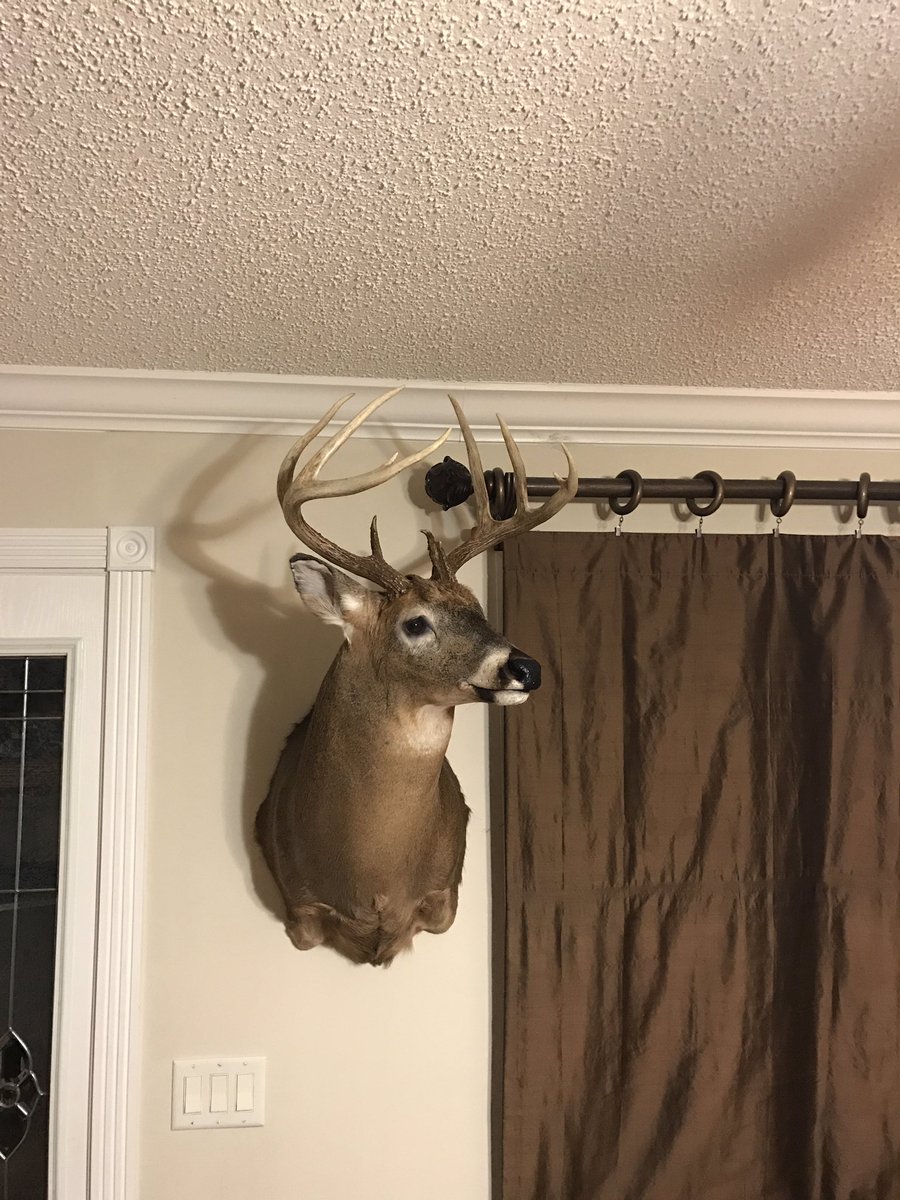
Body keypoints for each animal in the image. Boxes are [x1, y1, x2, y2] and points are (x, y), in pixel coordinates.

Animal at [255, 388, 577, 966]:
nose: (527, 667)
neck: (374, 875)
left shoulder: (444, 895)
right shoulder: (298, 905)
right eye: (415, 623)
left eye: (479, 609)